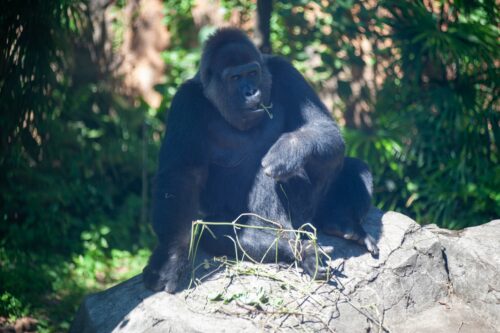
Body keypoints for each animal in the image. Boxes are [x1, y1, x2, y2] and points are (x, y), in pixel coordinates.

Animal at [143, 29, 376, 294]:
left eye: (253, 73)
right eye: (235, 78)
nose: (250, 92)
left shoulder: (284, 70)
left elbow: (323, 127)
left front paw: (290, 149)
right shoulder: (185, 102)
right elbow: (181, 177)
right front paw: (170, 257)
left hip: (310, 217)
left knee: (354, 168)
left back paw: (343, 223)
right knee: (220, 233)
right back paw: (299, 250)